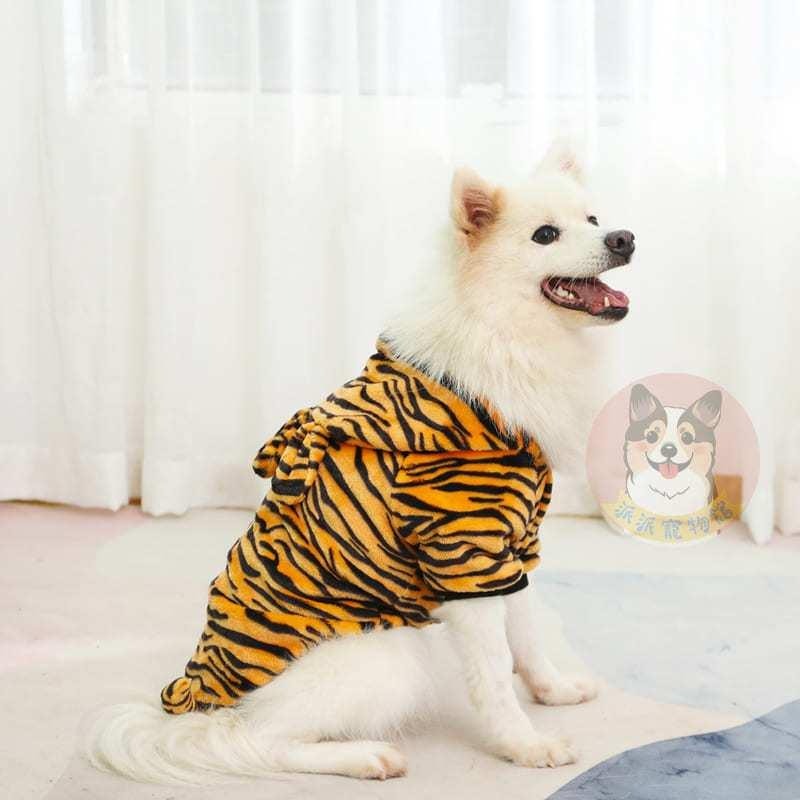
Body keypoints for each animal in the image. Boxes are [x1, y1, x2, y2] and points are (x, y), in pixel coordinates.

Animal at [161, 339, 552, 715]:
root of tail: (197, 688)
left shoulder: (514, 549)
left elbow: (530, 632)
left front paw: (553, 690)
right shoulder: (462, 554)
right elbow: (493, 673)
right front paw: (521, 737)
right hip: (383, 661)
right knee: (256, 731)